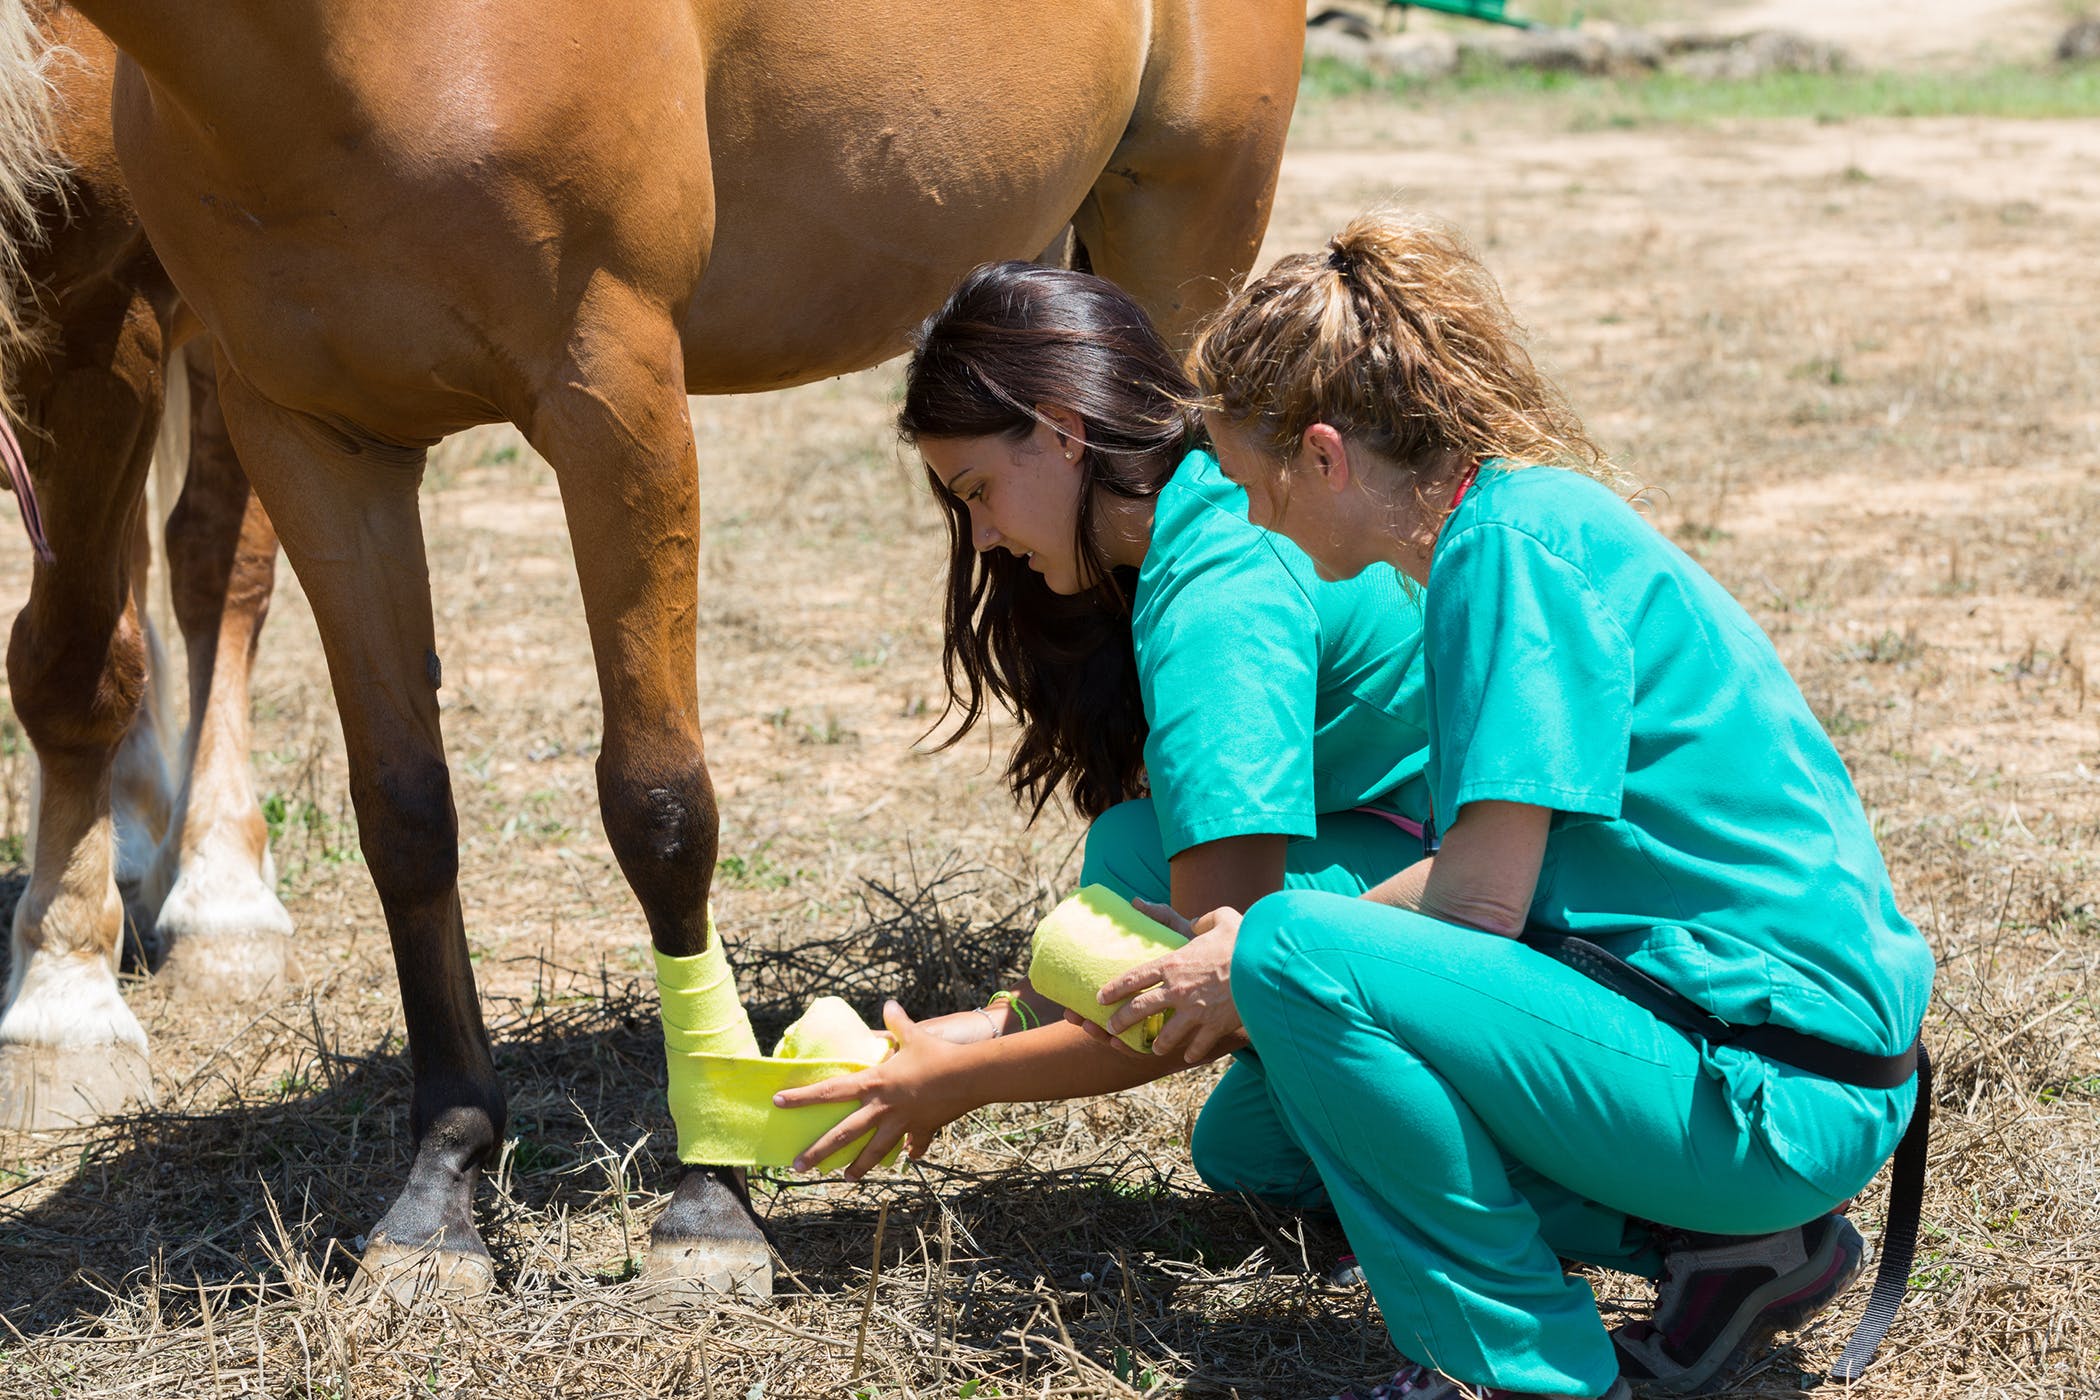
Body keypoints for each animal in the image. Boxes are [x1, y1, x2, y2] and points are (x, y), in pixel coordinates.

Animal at [0, 0, 1302, 1301]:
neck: (341, 49)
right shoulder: (314, 433)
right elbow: (405, 815)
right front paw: (442, 1187)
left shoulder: (615, 397)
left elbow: (661, 804)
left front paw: (710, 1192)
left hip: (1180, 231)